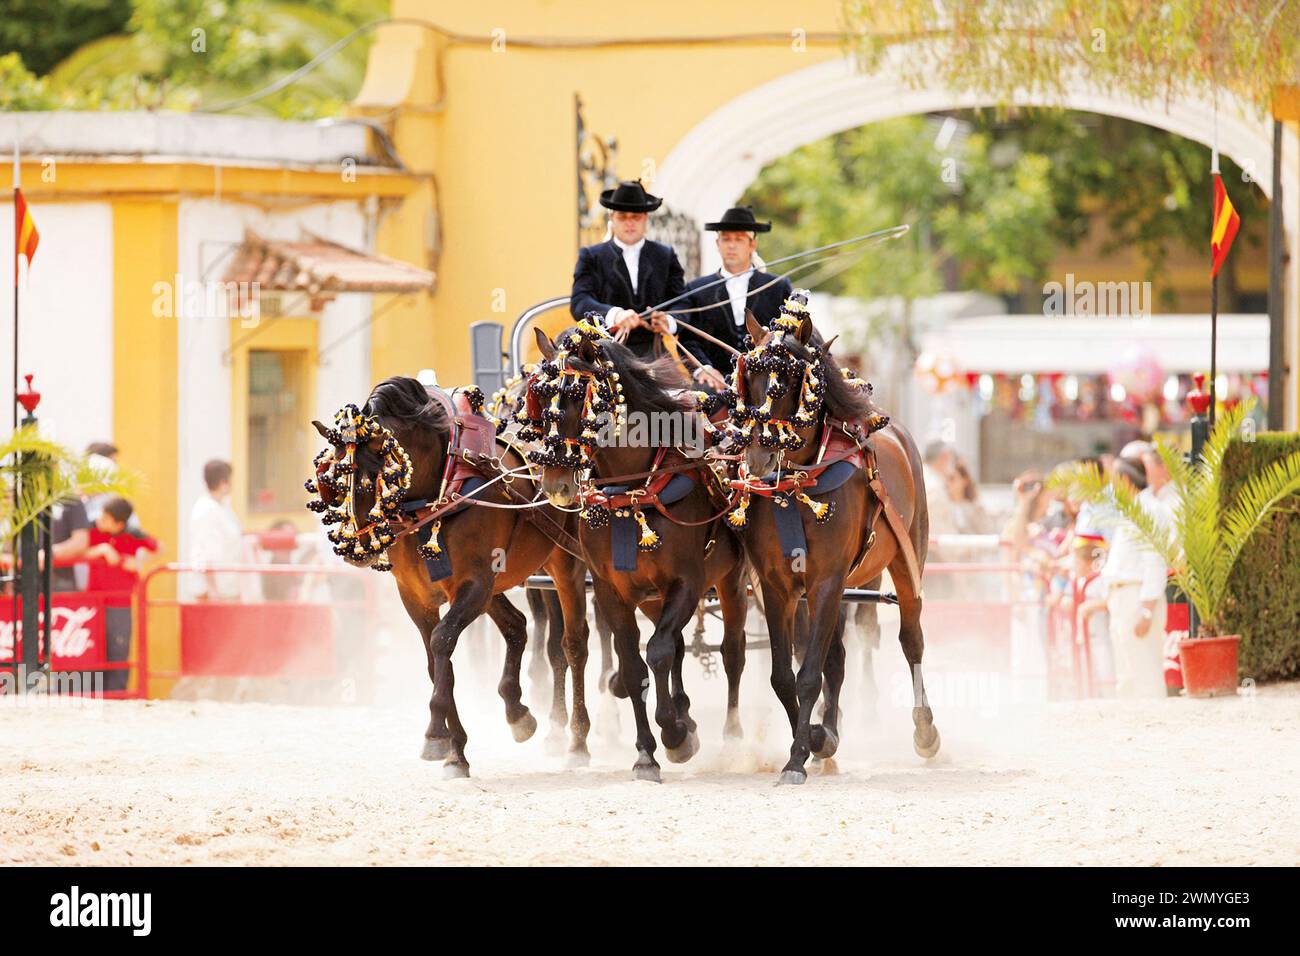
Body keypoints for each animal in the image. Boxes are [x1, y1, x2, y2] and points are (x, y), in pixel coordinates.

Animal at [306, 374, 592, 780]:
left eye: (368, 482)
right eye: (329, 481)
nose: (354, 549)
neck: (436, 490)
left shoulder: (473, 585)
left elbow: (443, 643)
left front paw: (436, 734)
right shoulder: (416, 596)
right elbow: (436, 662)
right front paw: (453, 749)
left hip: (564, 565)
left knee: (573, 644)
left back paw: (577, 740)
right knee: (517, 627)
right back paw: (517, 711)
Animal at [530, 321, 754, 785]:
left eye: (578, 395)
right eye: (540, 396)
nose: (555, 482)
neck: (633, 489)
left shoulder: (687, 583)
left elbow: (658, 652)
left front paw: (674, 735)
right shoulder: (612, 590)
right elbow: (635, 665)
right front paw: (648, 753)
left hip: (730, 582)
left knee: (732, 653)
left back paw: (731, 736)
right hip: (651, 597)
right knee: (679, 647)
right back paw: (685, 712)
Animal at [733, 299, 935, 785]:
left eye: (791, 381)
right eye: (749, 378)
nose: (759, 453)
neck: (796, 485)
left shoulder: (826, 580)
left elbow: (809, 674)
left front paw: (797, 758)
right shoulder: (776, 587)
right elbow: (785, 675)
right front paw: (814, 740)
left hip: (906, 562)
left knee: (911, 639)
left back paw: (925, 731)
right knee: (837, 658)